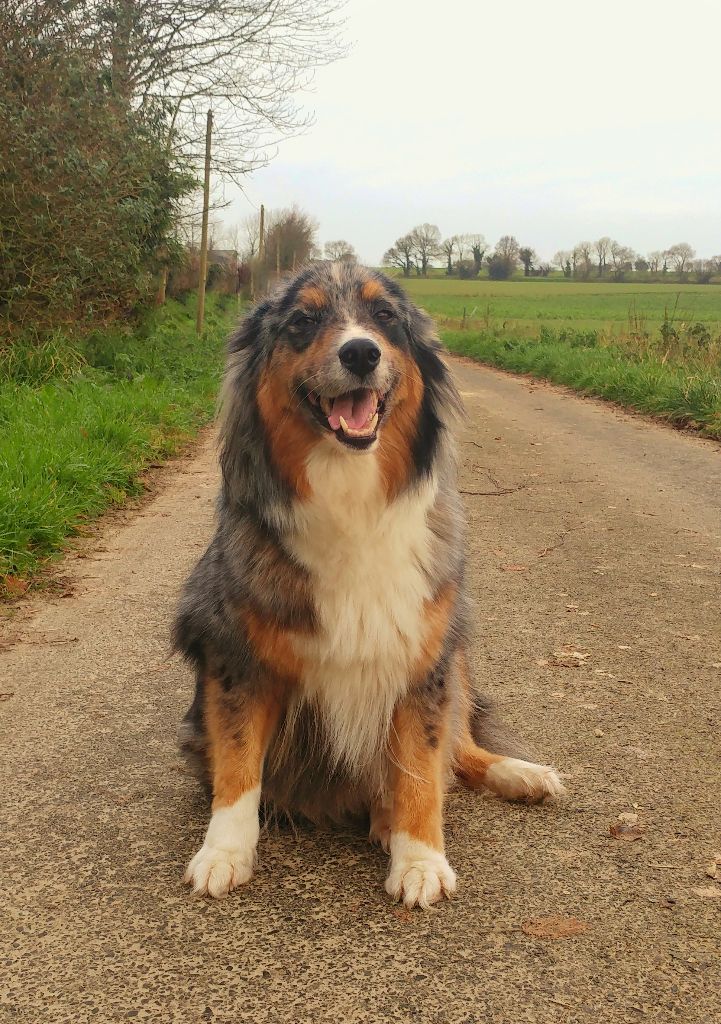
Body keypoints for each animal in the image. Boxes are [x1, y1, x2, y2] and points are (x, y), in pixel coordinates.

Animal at [173, 260, 565, 909]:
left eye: (385, 316)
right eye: (303, 320)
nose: (360, 352)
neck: (349, 493)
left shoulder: (424, 657)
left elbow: (421, 768)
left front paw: (421, 859)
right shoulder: (235, 656)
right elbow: (237, 765)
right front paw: (223, 853)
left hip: (457, 654)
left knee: (460, 750)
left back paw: (518, 774)